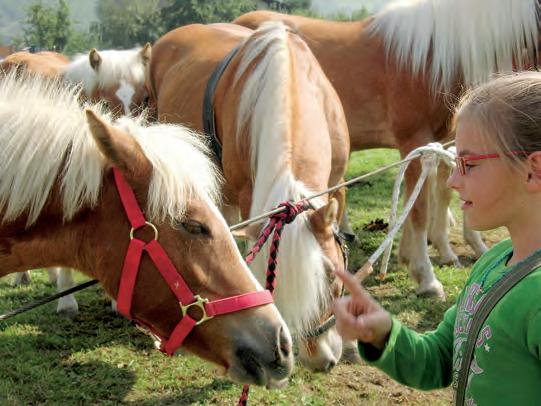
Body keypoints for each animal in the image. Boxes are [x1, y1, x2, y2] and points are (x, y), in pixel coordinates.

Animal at [234, 0, 540, 297]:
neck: (432, 60)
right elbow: (419, 208)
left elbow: (433, 196)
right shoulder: (415, 141)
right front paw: (426, 276)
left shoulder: (439, 144)